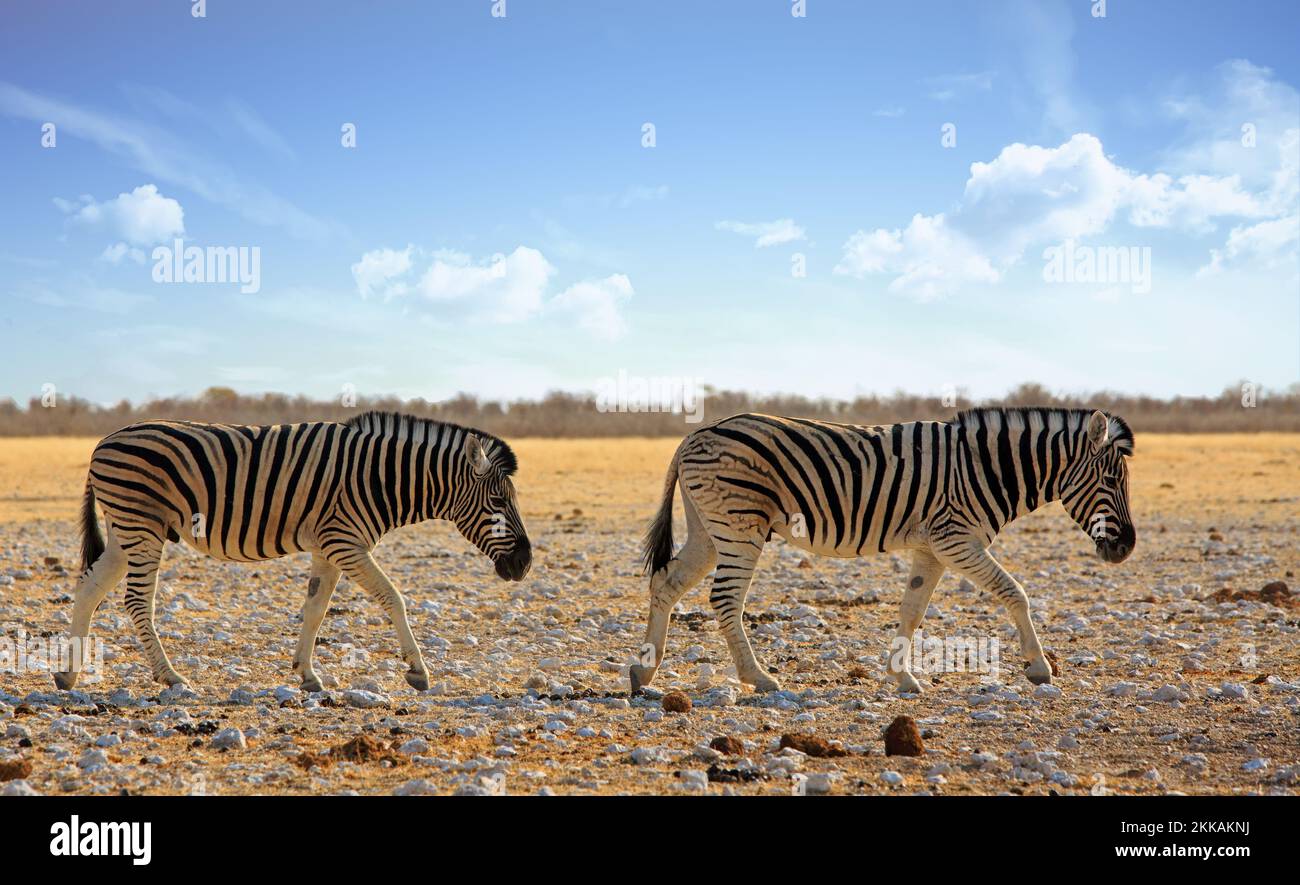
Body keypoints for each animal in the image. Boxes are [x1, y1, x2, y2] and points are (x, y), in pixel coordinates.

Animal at [54, 410, 533, 691]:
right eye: (497, 502)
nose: (525, 564)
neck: (383, 478)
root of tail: (103, 440)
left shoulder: (329, 546)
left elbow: (316, 608)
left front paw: (307, 674)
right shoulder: (345, 542)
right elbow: (393, 597)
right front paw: (418, 671)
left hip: (126, 529)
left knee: (89, 587)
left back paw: (69, 673)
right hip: (142, 524)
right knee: (137, 601)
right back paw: (170, 677)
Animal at [626, 408, 1128, 691]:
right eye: (1110, 479)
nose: (1125, 549)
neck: (987, 468)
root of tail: (695, 434)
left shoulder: (933, 547)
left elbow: (912, 608)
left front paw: (902, 676)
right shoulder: (955, 538)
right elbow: (1015, 593)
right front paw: (1039, 668)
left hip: (709, 529)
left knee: (666, 582)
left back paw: (644, 671)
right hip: (739, 524)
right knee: (725, 598)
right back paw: (760, 679)